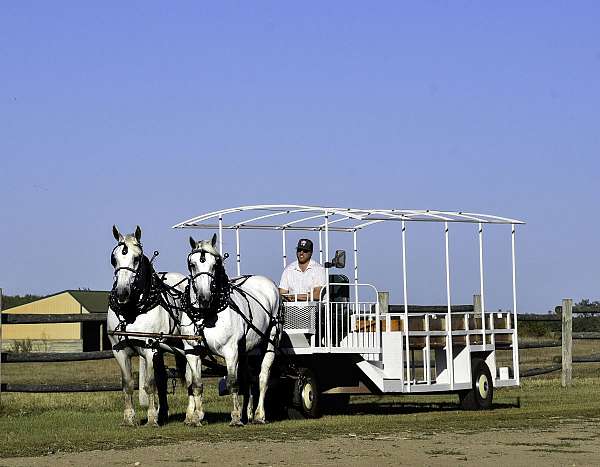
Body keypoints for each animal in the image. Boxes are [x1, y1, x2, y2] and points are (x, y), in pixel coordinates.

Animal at [108, 227, 186, 428]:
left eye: (136, 258)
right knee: (163, 379)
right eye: (113, 259)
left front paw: (151, 418)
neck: (131, 311)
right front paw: (129, 419)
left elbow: (150, 384)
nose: (122, 293)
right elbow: (128, 384)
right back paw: (163, 413)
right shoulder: (119, 351)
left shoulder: (150, 349)